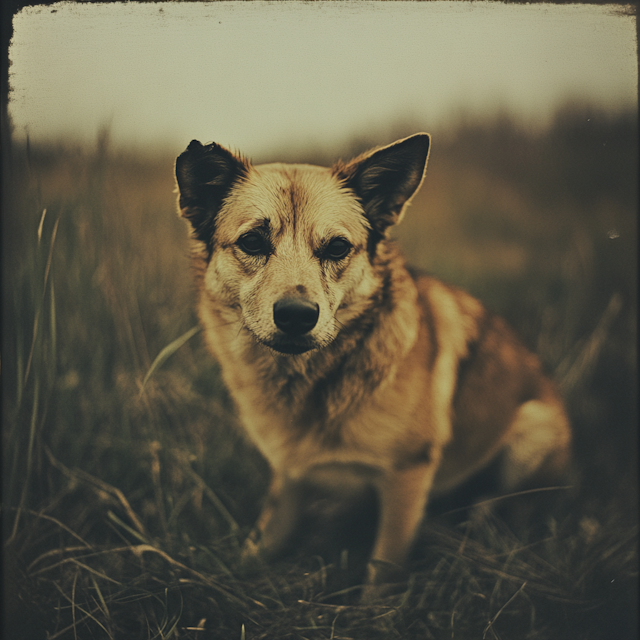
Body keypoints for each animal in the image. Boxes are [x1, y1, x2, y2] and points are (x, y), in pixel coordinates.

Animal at [174, 132, 568, 596]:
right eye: (253, 242)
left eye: (337, 248)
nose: (296, 316)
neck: (311, 381)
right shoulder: (288, 475)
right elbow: (267, 537)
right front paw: (236, 572)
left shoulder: (408, 474)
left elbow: (383, 568)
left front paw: (377, 608)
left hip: (533, 430)